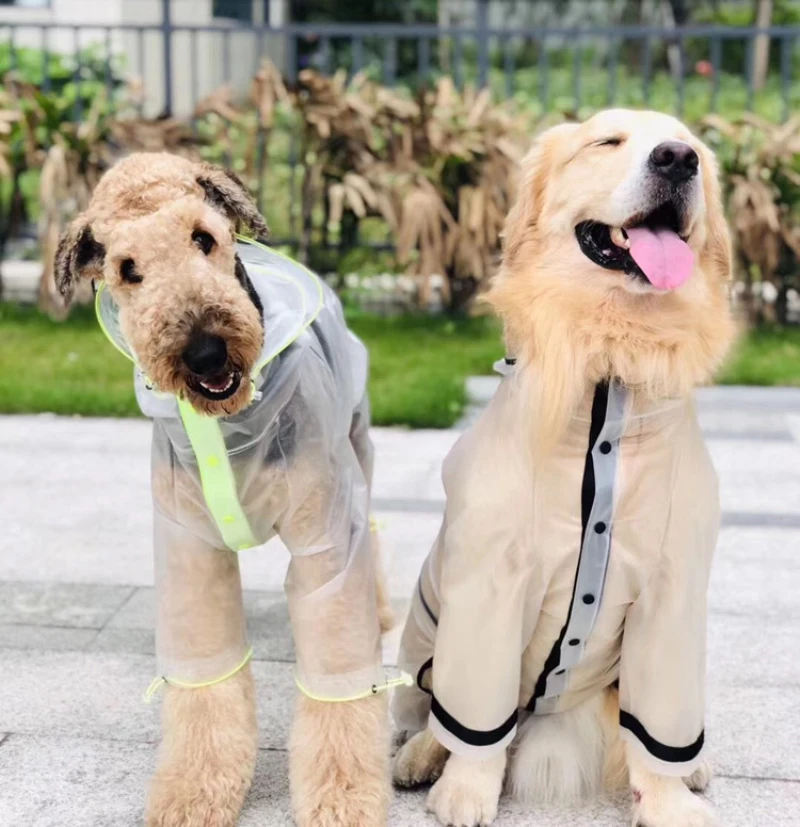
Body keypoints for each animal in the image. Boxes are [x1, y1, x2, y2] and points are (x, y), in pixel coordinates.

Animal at [53, 154, 394, 827]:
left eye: (203, 238)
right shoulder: (190, 550)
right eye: (127, 269)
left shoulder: (325, 541)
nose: (206, 352)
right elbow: (206, 681)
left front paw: (343, 799)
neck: (229, 424)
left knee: (368, 532)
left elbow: (339, 680)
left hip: (356, 455)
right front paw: (193, 794)